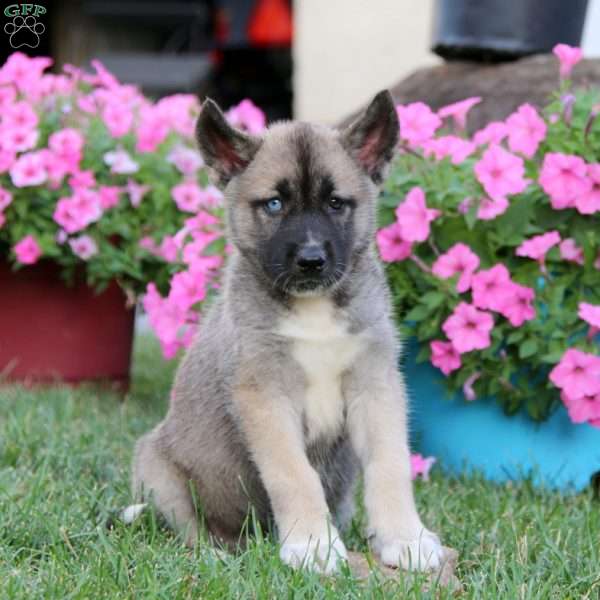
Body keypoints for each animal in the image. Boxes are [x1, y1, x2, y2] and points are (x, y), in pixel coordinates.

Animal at [130, 91, 440, 576]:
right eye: (274, 204)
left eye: (336, 203)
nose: (311, 260)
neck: (314, 307)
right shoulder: (264, 396)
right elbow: (294, 473)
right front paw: (314, 545)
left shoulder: (375, 385)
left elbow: (390, 465)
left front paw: (405, 538)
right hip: (156, 467)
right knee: (187, 527)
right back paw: (214, 552)